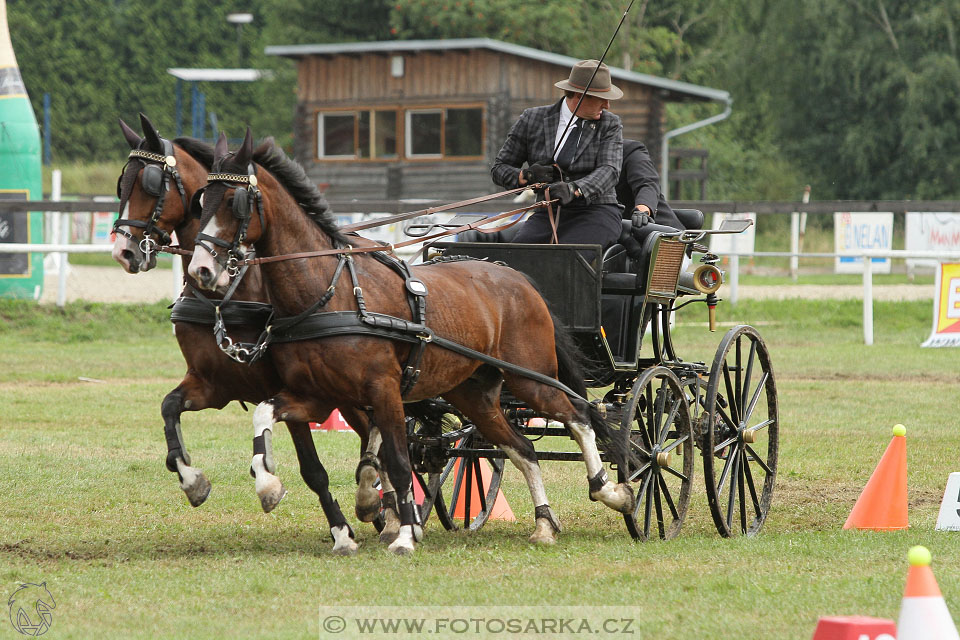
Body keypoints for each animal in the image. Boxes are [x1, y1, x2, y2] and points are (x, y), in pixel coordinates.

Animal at [109, 112, 368, 552]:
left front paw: (340, 531)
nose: (123, 252)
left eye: (150, 183)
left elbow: (312, 469)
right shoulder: (213, 384)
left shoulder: (290, 391)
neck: (227, 294)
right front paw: (192, 480)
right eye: (121, 183)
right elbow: (168, 409)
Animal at [189, 130, 636, 556]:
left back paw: (612, 491)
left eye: (235, 202)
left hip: (531, 378)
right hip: (473, 393)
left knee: (579, 415)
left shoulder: (383, 390)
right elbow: (265, 414)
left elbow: (400, 463)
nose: (201, 270)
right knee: (523, 447)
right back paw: (544, 524)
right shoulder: (316, 395)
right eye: (201, 201)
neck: (331, 292)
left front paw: (403, 534)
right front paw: (268, 485)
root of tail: (519, 277)